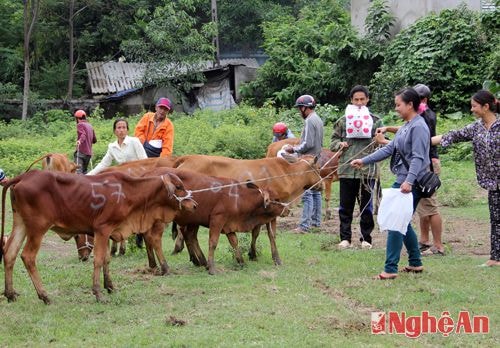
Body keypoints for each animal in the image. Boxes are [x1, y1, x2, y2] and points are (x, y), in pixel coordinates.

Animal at [0, 170, 195, 304]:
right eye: (179, 187)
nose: (194, 204)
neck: (129, 193)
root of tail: (24, 176)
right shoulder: (102, 229)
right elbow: (99, 260)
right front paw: (98, 293)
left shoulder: (108, 233)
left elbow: (107, 259)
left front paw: (110, 286)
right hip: (38, 228)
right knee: (27, 256)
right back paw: (44, 295)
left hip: (21, 224)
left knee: (9, 253)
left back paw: (10, 294)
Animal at [140, 168, 290, 274]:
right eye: (276, 199)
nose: (288, 210)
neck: (238, 198)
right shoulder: (217, 219)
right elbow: (213, 242)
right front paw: (212, 268)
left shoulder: (228, 224)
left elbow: (234, 242)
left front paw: (241, 261)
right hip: (161, 220)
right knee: (154, 238)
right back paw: (164, 266)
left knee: (187, 237)